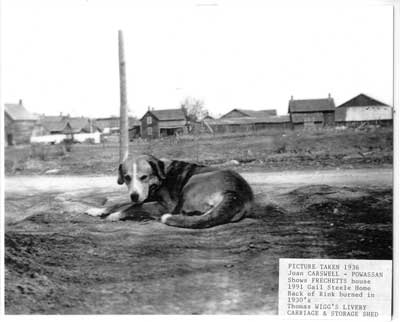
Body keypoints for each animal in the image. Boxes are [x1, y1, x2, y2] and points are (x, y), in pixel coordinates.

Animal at [86, 155, 255, 229]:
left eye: (144, 177)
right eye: (127, 178)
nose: (134, 195)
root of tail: (237, 193)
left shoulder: (164, 206)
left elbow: (133, 207)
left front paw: (115, 215)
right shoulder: (144, 198)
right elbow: (120, 203)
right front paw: (98, 210)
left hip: (193, 180)